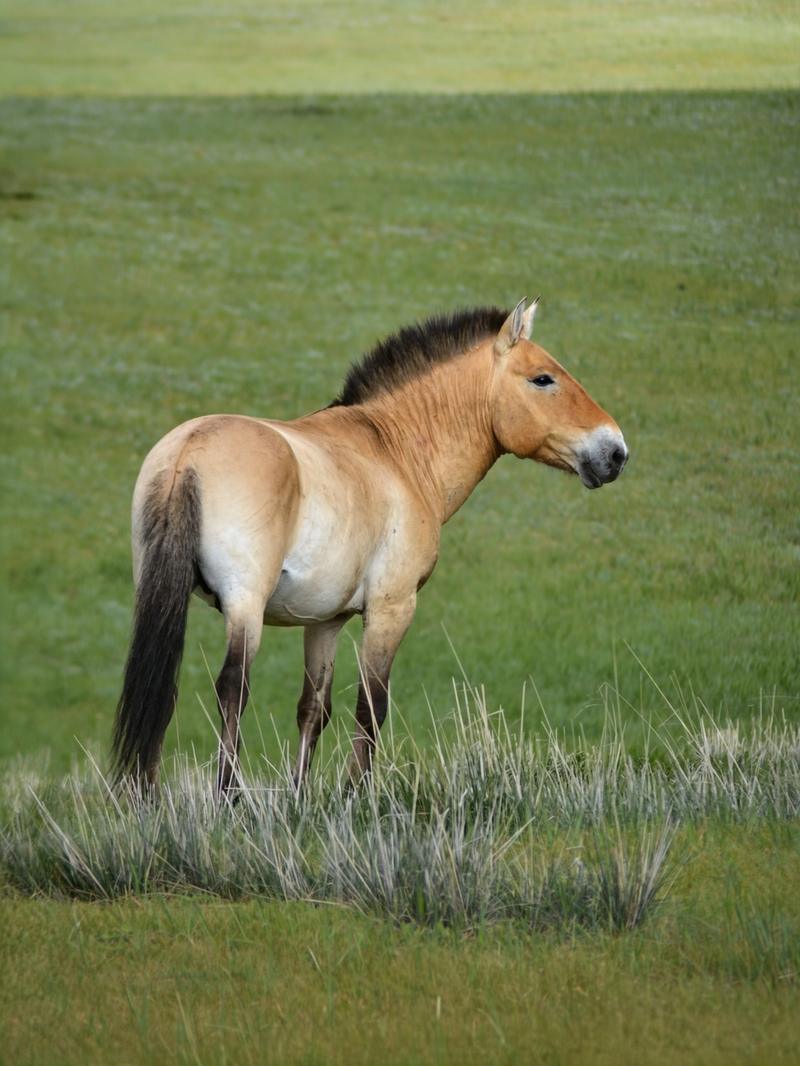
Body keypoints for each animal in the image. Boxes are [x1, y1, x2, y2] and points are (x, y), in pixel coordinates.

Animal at [112, 298, 628, 796]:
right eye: (543, 378)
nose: (615, 452)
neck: (395, 452)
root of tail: (188, 452)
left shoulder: (325, 622)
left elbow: (313, 709)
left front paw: (299, 800)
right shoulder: (390, 608)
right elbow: (371, 706)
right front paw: (355, 796)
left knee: (163, 686)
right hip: (246, 605)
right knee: (232, 690)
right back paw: (226, 797)